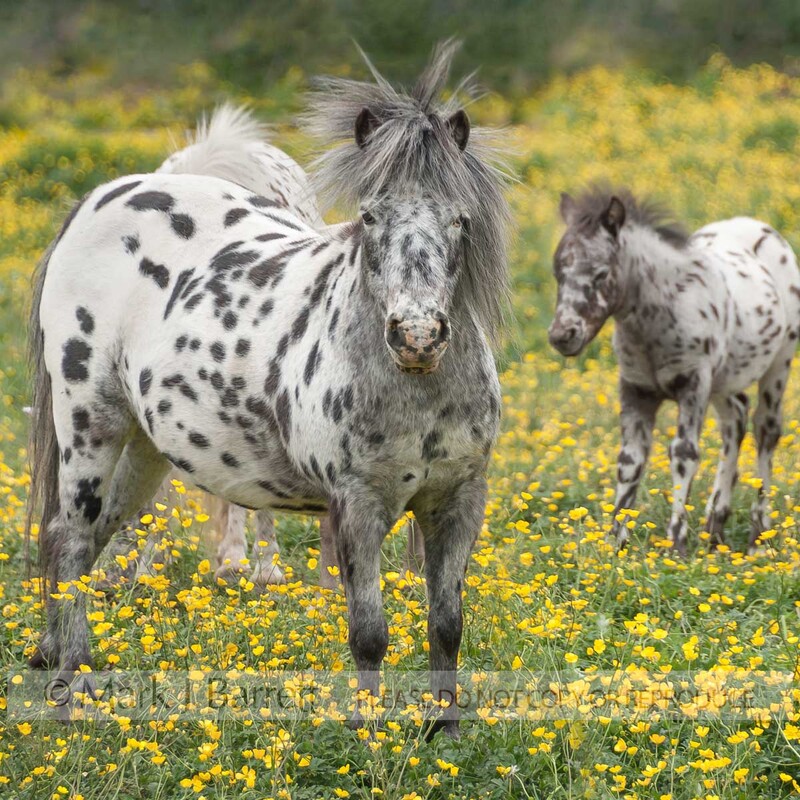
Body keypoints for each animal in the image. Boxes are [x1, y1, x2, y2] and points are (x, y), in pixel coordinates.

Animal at [26, 40, 511, 737]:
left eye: (459, 219)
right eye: (370, 216)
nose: (417, 336)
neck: (416, 392)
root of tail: (103, 198)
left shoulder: (458, 501)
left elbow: (447, 624)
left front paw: (444, 731)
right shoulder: (357, 504)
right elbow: (368, 633)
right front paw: (369, 733)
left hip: (147, 451)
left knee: (84, 541)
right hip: (90, 424)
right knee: (68, 540)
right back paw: (74, 690)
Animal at [548, 187, 800, 555]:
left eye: (601, 273)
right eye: (558, 273)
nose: (562, 335)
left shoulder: (693, 384)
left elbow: (684, 453)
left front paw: (676, 542)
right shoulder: (635, 389)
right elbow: (630, 459)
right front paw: (614, 545)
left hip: (777, 364)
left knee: (765, 431)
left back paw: (758, 537)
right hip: (724, 380)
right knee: (734, 421)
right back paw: (714, 526)